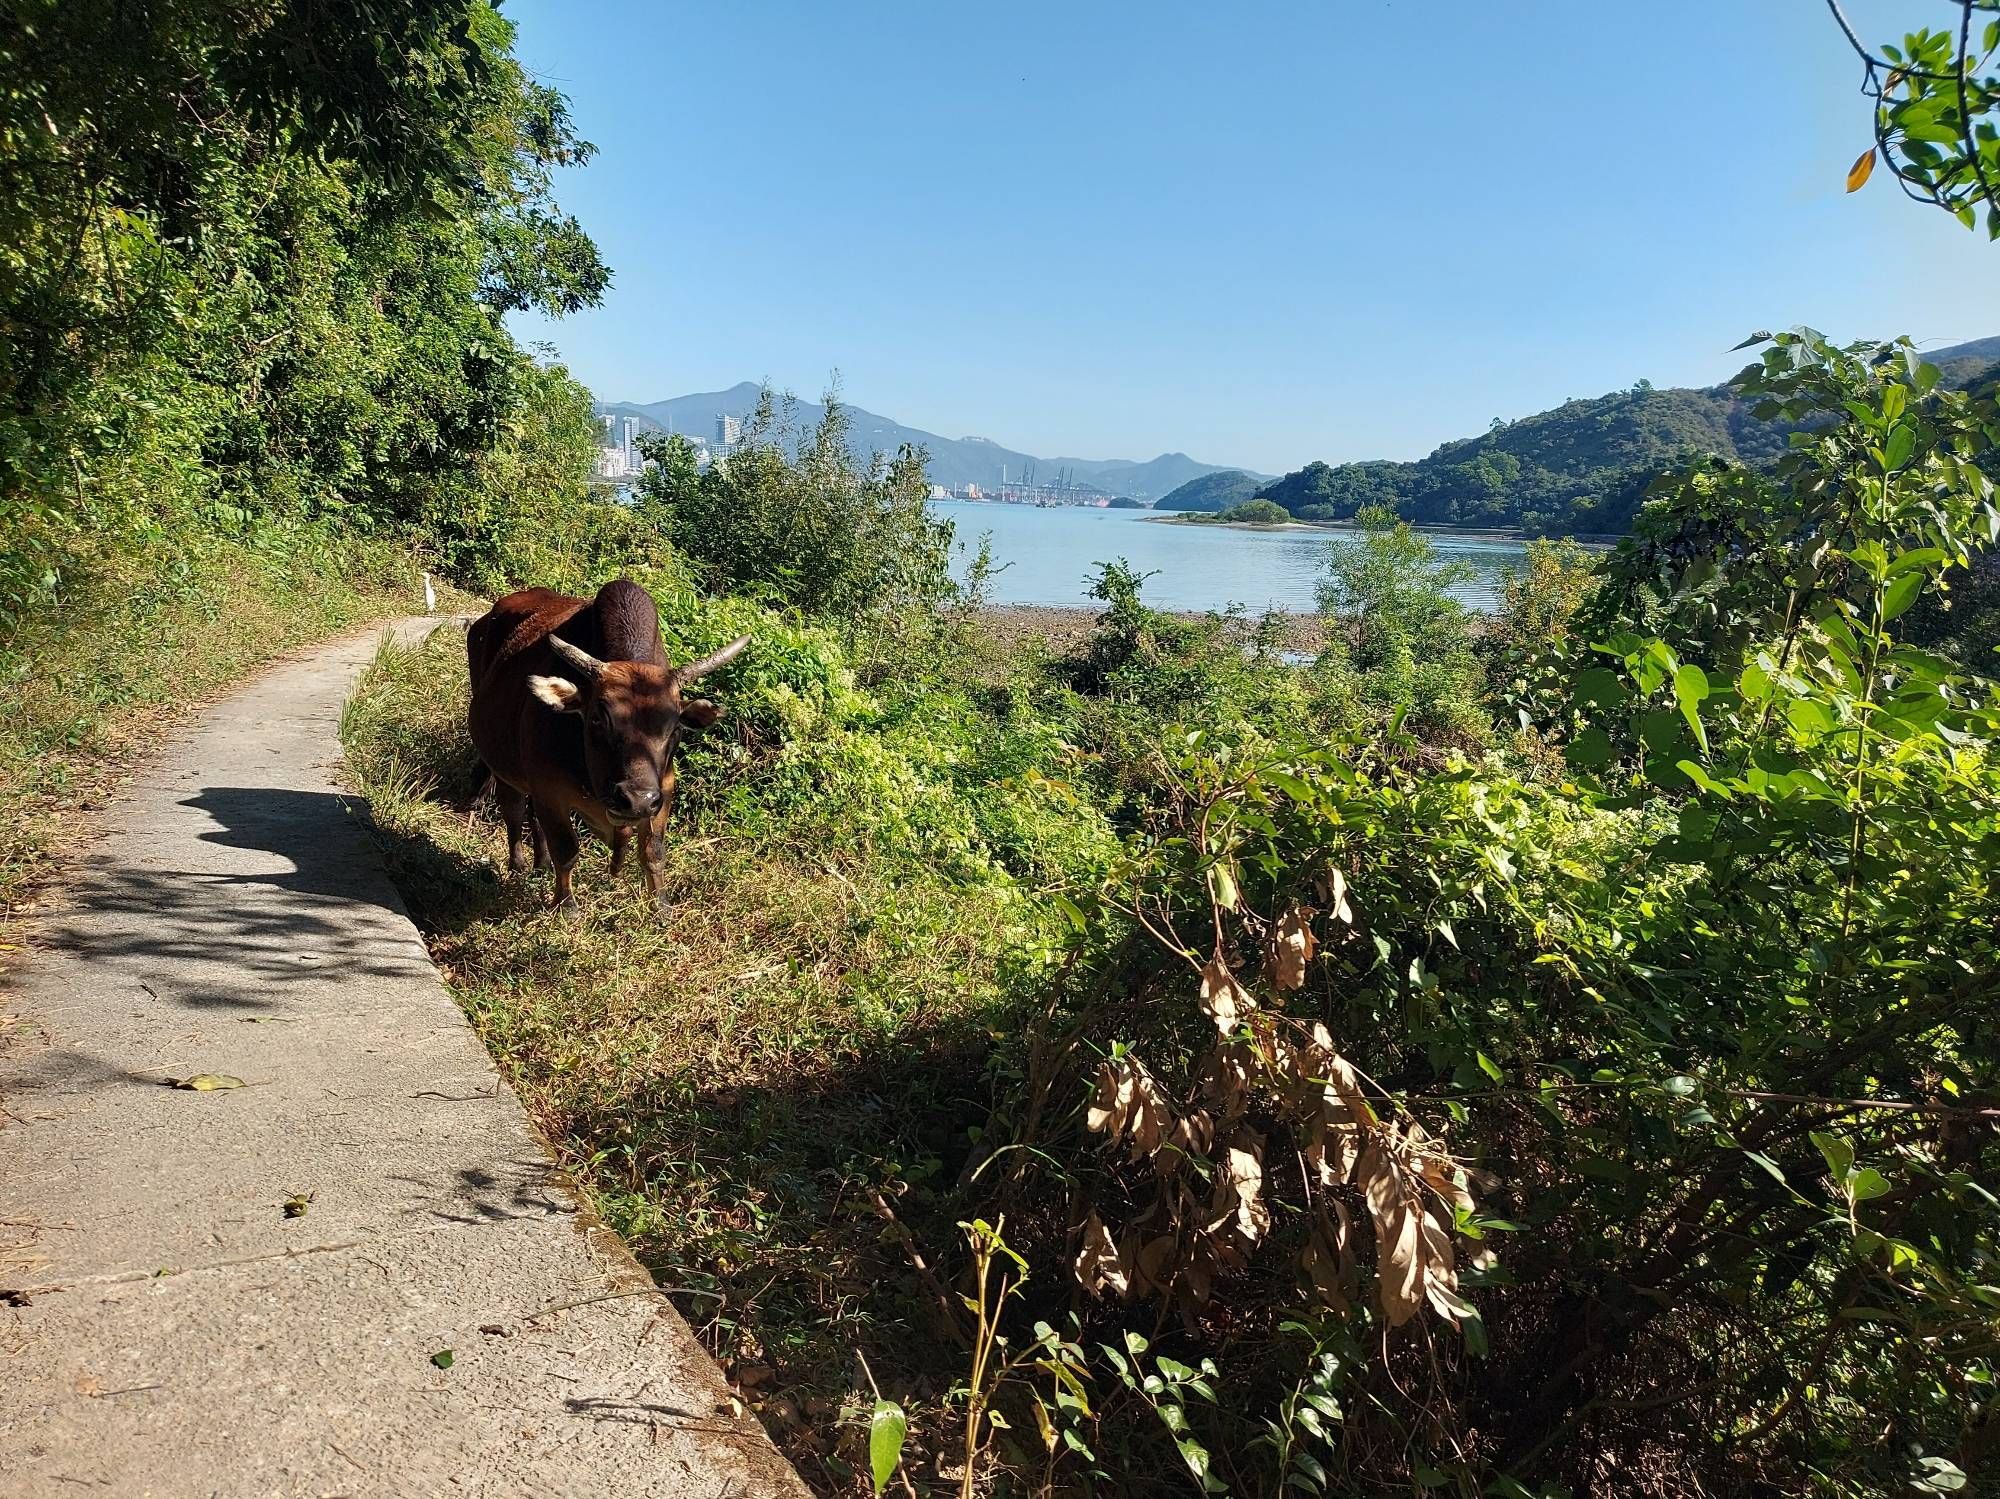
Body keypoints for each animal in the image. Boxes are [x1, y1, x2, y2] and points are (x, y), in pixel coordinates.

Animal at [468, 579, 752, 911]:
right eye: (597, 718)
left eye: (675, 728)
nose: (636, 800)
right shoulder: (550, 791)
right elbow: (567, 850)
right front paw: (567, 906)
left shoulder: (663, 793)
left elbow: (653, 852)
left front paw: (661, 907)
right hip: (503, 767)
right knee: (513, 810)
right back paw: (518, 866)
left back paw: (542, 865)